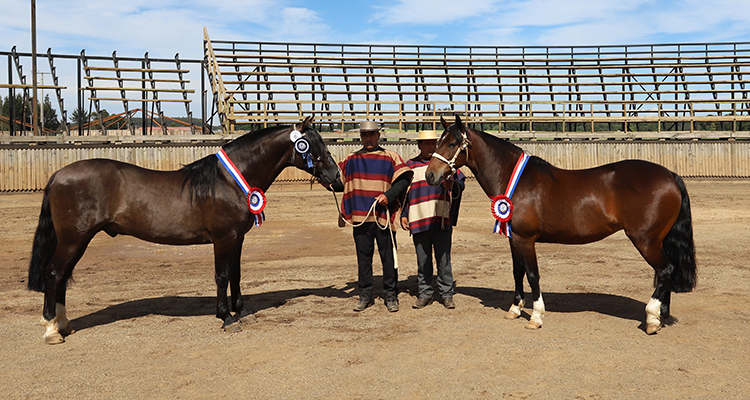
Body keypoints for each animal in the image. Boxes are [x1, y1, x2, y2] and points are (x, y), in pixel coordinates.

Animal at [27, 116, 340, 344]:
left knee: (62, 276)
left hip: (76, 240)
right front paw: (226, 318)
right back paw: (52, 329)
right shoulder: (223, 238)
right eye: (312, 146)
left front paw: (242, 312)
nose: (336, 178)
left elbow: (236, 275)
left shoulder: (237, 238)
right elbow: (222, 276)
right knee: (54, 274)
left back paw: (64, 325)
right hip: (73, 239)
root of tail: (58, 175)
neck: (228, 181)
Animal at [428, 115, 700, 334]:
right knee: (665, 272)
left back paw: (652, 319)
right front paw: (515, 308)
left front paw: (536, 316)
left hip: (645, 240)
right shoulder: (514, 239)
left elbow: (532, 275)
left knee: (665, 270)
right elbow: (517, 272)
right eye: (438, 142)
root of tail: (670, 175)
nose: (431, 175)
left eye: (452, 143)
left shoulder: (526, 240)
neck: (516, 180)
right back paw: (661, 314)